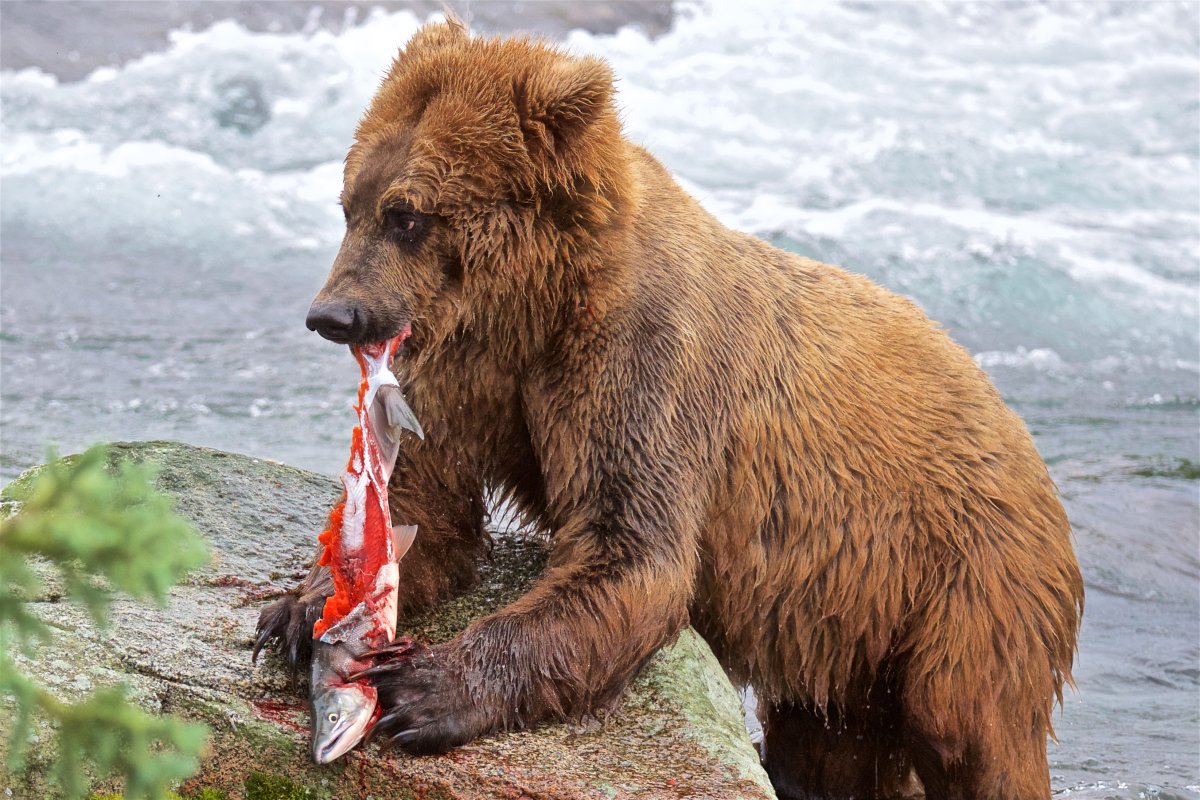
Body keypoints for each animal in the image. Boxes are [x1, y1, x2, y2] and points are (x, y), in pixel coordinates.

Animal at [254, 20, 1084, 799]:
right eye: (350, 204)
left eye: (408, 214)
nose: (333, 313)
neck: (536, 304)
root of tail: (1020, 432)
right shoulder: (462, 368)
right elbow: (426, 512)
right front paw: (299, 610)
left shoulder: (641, 363)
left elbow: (631, 553)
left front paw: (425, 688)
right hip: (845, 622)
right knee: (832, 736)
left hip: (962, 577)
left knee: (968, 727)